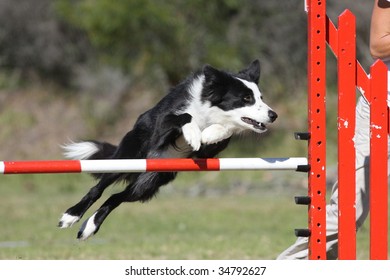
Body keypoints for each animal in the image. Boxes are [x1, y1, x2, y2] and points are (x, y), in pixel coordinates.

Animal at [58, 60, 278, 240]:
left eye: (260, 97)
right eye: (246, 98)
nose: (273, 115)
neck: (208, 110)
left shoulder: (209, 152)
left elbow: (222, 131)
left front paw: (207, 134)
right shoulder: (162, 124)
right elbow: (185, 116)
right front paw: (193, 133)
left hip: (149, 182)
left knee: (115, 198)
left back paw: (89, 227)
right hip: (127, 157)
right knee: (98, 188)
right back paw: (71, 215)